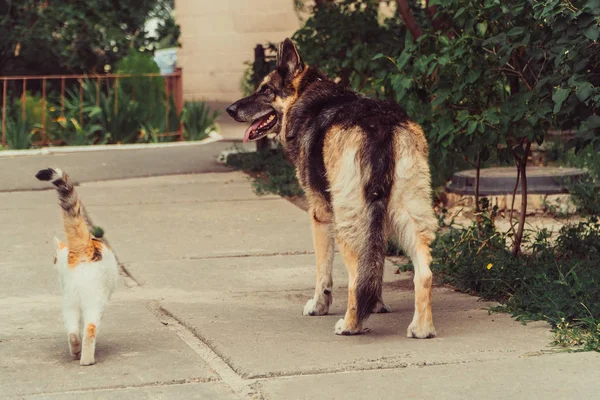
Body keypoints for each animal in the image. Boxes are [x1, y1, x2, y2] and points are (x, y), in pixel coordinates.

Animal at [36, 168, 119, 366]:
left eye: (54, 259)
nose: (54, 261)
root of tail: (83, 246)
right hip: (95, 299)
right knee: (90, 328)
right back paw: (86, 359)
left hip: (69, 301)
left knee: (73, 330)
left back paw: (75, 349)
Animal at [225, 38, 436, 338]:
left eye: (266, 90)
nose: (230, 110)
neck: (307, 96)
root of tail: (379, 124)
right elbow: (375, 266)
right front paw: (377, 304)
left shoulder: (319, 216)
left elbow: (323, 272)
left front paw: (318, 306)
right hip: (408, 211)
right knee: (424, 272)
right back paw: (422, 328)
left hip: (347, 222)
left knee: (355, 278)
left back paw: (350, 325)